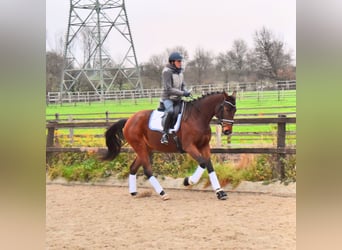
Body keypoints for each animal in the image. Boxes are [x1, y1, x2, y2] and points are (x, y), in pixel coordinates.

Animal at [103, 91, 236, 200]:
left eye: (234, 110)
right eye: (226, 109)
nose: (227, 131)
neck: (198, 117)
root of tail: (129, 120)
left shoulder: (204, 146)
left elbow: (209, 166)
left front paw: (220, 192)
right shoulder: (189, 147)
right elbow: (203, 163)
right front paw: (188, 181)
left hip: (146, 149)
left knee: (133, 168)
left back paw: (134, 192)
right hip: (140, 147)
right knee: (147, 170)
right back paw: (162, 193)